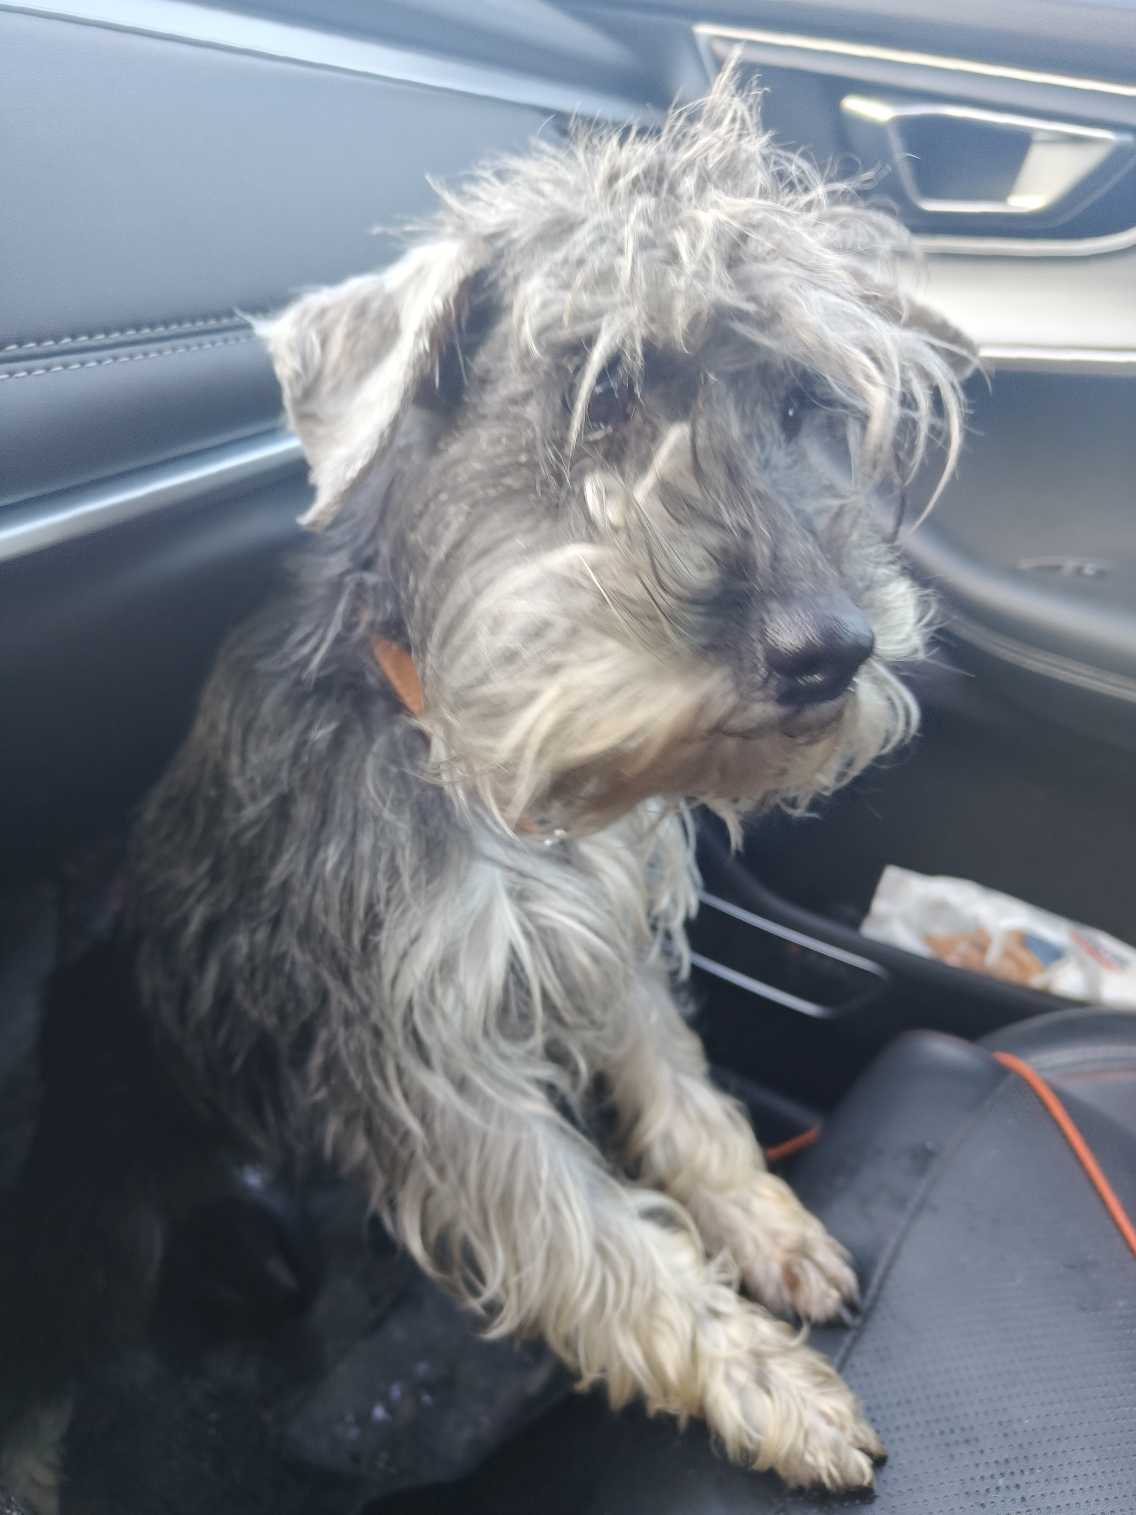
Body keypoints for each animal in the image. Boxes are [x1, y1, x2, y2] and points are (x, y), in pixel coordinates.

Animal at [2, 70, 974, 1508]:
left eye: (800, 401)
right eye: (604, 391)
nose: (831, 648)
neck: (478, 748)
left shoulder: (603, 940)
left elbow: (684, 1090)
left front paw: (765, 1220)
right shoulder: (427, 1056)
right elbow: (591, 1239)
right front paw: (767, 1383)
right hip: (103, 1202)